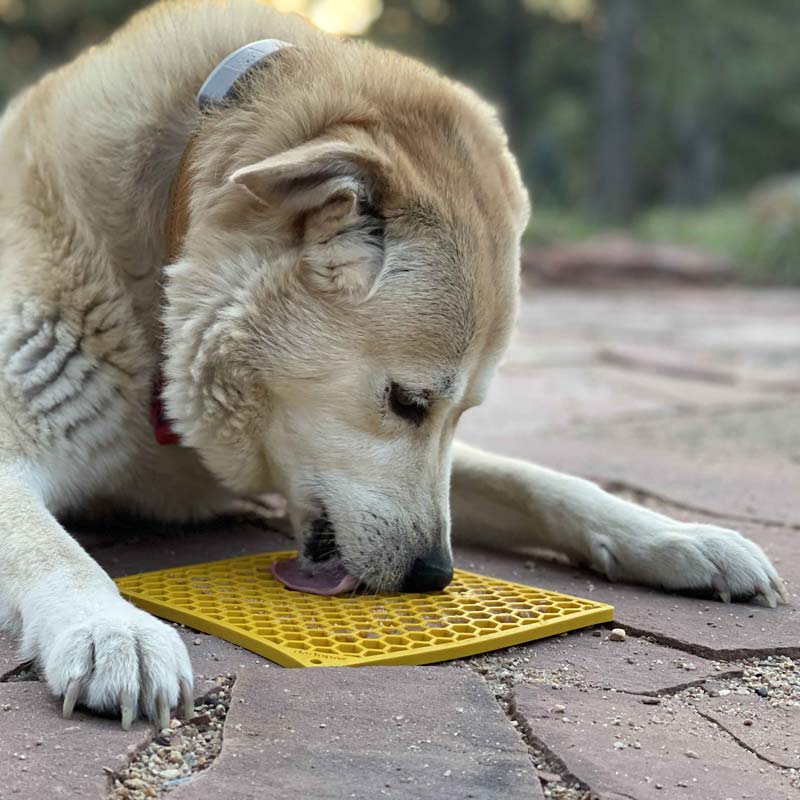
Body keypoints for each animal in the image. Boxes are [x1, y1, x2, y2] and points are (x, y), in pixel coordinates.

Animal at [0, 0, 788, 724]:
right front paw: (111, 628)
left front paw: (677, 537)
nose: (434, 576)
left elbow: (544, 484)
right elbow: (52, 549)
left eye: (462, 412)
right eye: (407, 401)